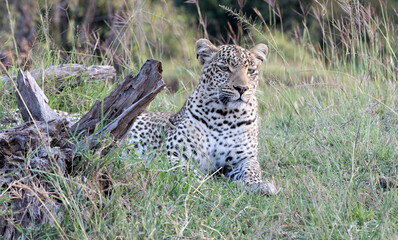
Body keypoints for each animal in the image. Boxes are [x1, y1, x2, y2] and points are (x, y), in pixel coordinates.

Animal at [129, 39, 278, 195]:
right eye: (225, 68)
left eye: (250, 71)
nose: (242, 88)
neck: (225, 117)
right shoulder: (170, 154)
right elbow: (186, 169)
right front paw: (203, 184)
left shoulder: (244, 158)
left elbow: (252, 169)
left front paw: (259, 184)